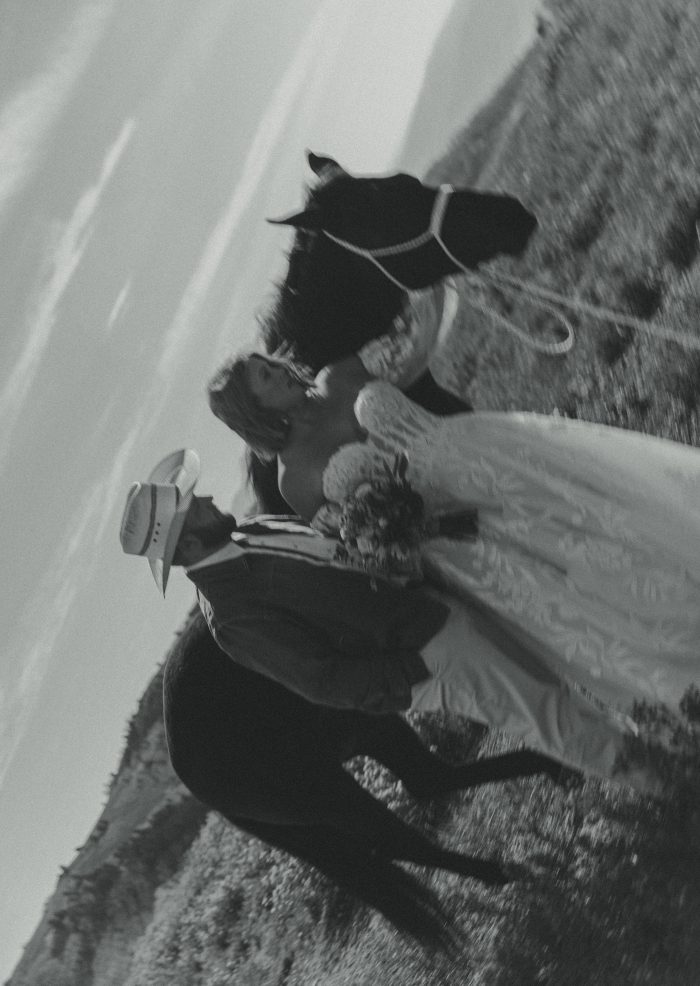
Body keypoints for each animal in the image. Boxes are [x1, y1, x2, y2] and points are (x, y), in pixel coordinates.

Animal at [164, 612, 576, 948]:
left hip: (366, 734)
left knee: (427, 780)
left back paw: (554, 772)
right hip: (328, 787)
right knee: (401, 838)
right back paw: (503, 868)